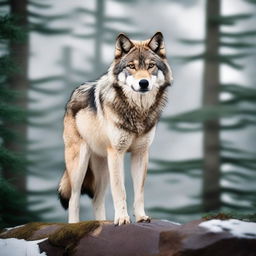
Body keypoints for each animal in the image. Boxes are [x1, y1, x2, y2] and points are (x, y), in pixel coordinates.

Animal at [57, 32, 173, 226]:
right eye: (131, 66)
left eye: (151, 66)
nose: (143, 83)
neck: (137, 111)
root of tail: (72, 96)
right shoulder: (117, 153)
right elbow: (120, 191)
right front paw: (122, 219)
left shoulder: (140, 154)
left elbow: (139, 192)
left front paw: (141, 217)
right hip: (80, 164)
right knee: (74, 198)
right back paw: (73, 226)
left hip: (103, 167)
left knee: (97, 199)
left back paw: (102, 223)